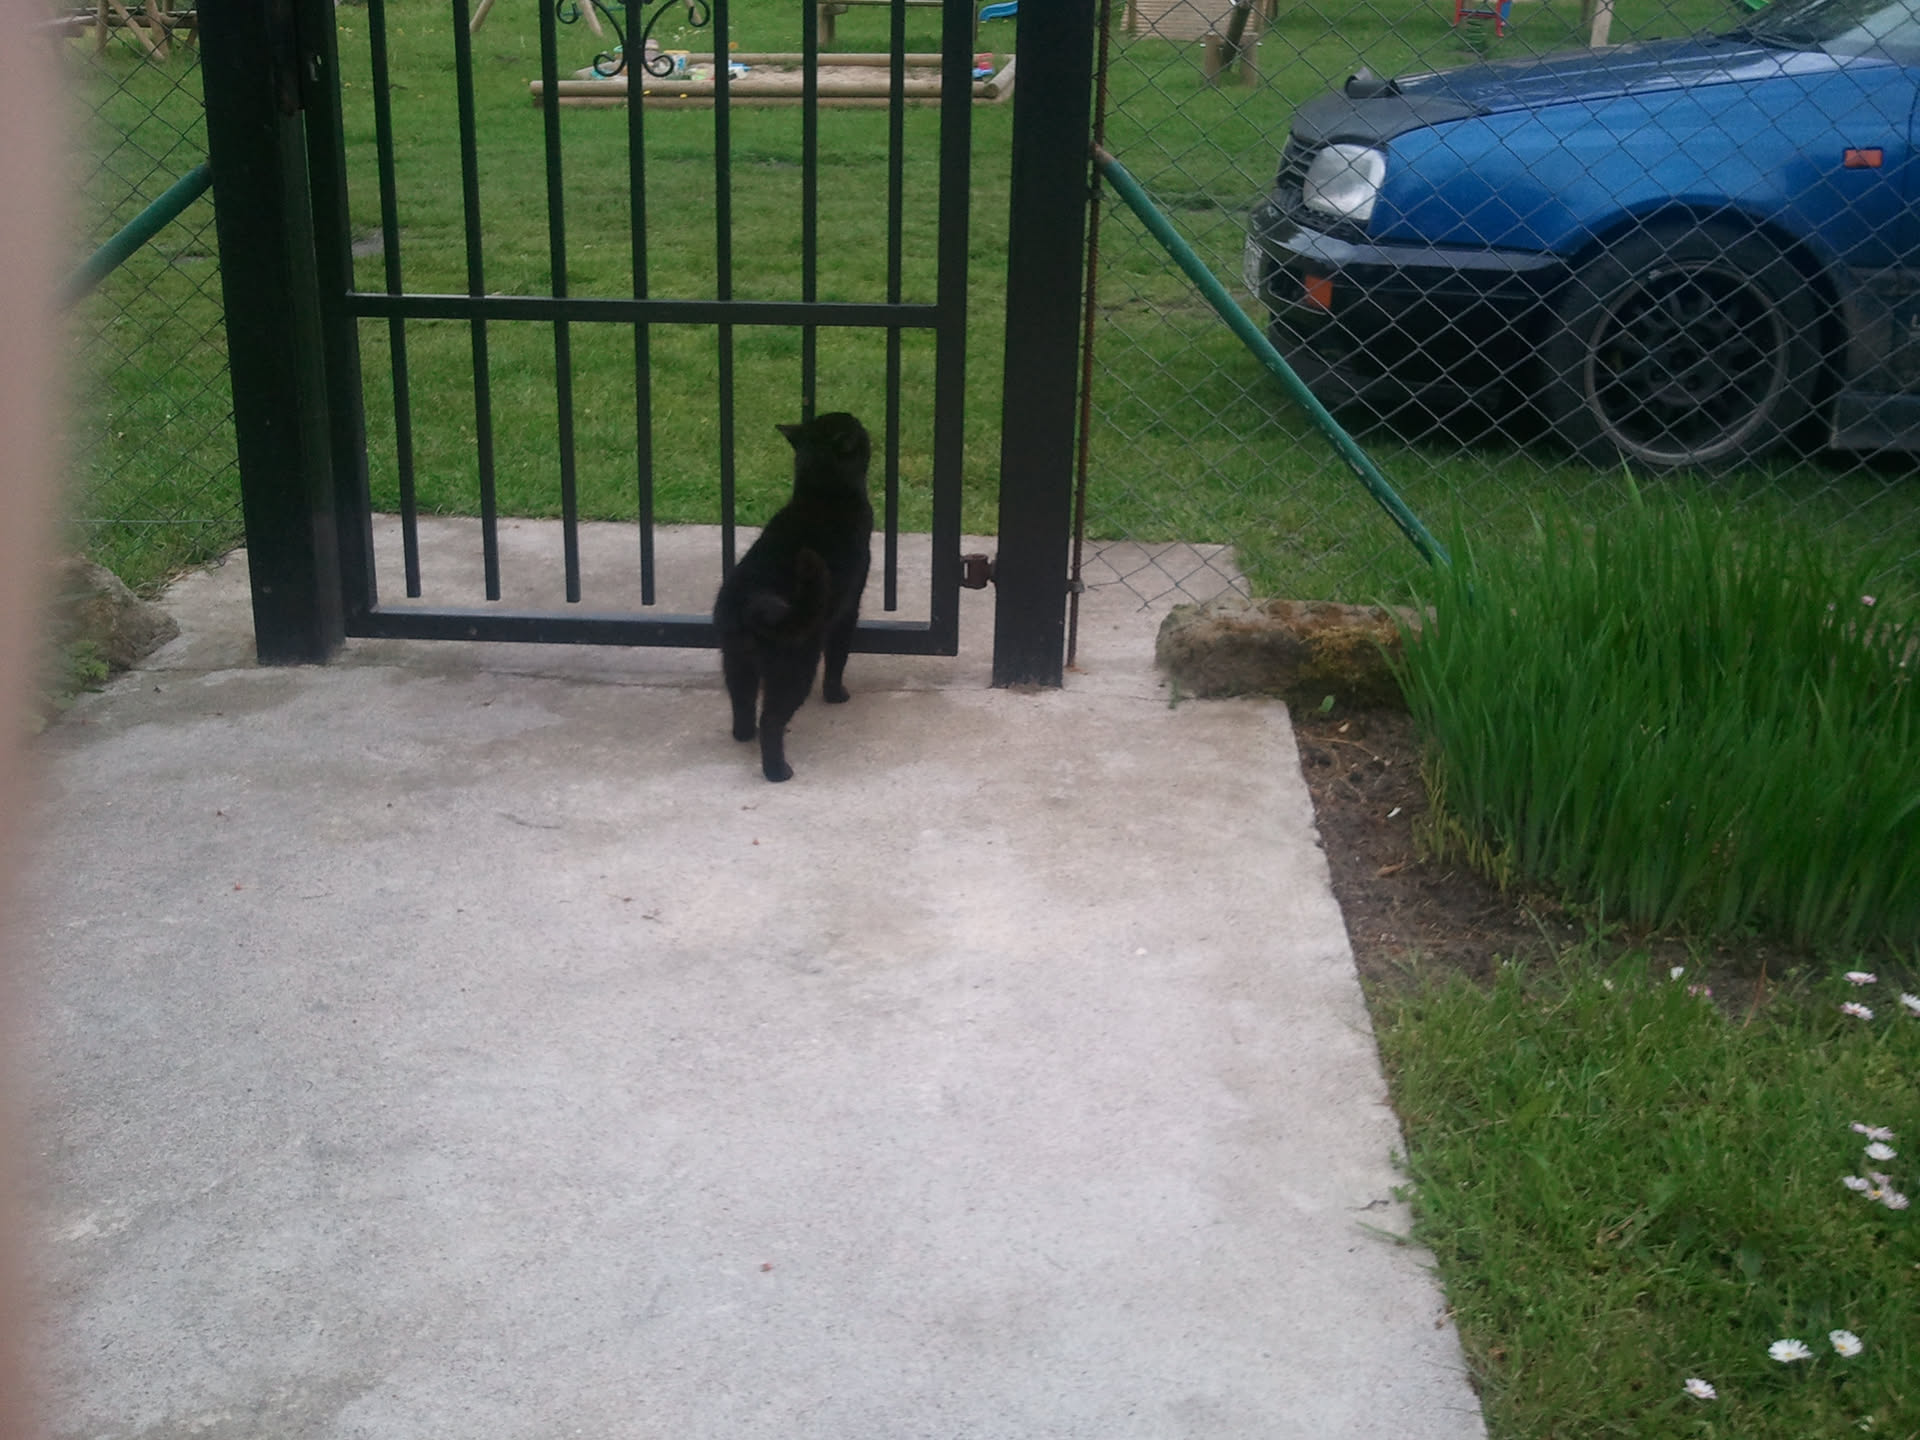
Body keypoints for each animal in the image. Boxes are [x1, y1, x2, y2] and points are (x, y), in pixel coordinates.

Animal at [712, 411, 874, 783]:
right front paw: (836, 695)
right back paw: (778, 771)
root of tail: (751, 603)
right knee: (770, 720)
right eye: (857, 428)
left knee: (742, 704)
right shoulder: (848, 609)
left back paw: (744, 735)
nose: (863, 423)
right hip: (794, 667)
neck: (821, 493)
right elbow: (839, 656)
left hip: (735, 660)